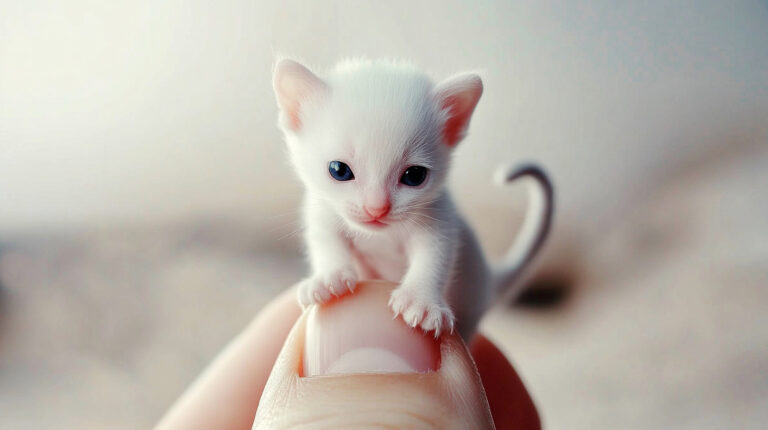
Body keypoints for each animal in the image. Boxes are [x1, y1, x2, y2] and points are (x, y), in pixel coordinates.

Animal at [270, 58, 552, 340]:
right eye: (339, 170)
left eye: (414, 175)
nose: (376, 208)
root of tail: (489, 278)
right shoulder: (321, 210)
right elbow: (326, 240)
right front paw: (329, 277)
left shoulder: (440, 217)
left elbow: (435, 256)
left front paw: (422, 301)